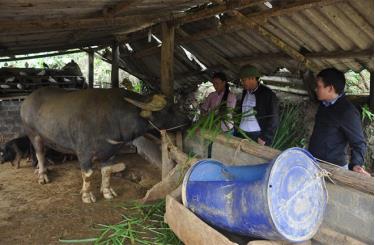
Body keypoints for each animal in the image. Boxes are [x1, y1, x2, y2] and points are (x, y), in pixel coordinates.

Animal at [20, 87, 191, 203]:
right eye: (169, 109)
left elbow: (107, 171)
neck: (113, 117)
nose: (188, 121)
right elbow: (88, 175)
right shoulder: (84, 153)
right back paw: (42, 175)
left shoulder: (111, 150)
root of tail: (26, 102)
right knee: (39, 152)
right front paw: (87, 195)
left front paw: (107, 191)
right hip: (33, 134)